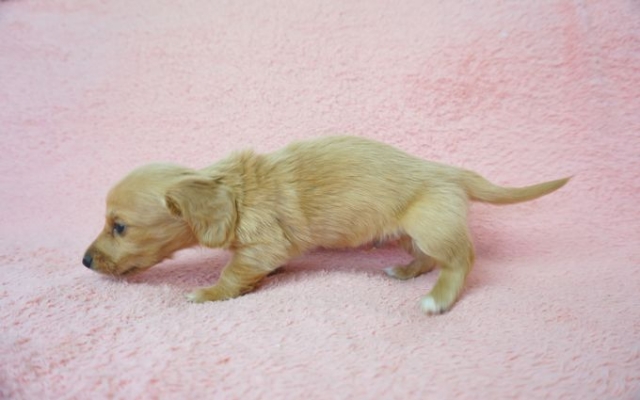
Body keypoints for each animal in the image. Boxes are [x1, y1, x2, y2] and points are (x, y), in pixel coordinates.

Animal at [82, 136, 569, 314]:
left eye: (119, 226)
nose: (85, 262)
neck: (235, 191)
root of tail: (452, 173)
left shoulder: (263, 243)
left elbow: (234, 271)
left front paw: (210, 293)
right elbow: (254, 268)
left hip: (431, 224)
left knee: (462, 259)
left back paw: (438, 298)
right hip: (412, 230)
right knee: (428, 258)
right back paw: (405, 271)